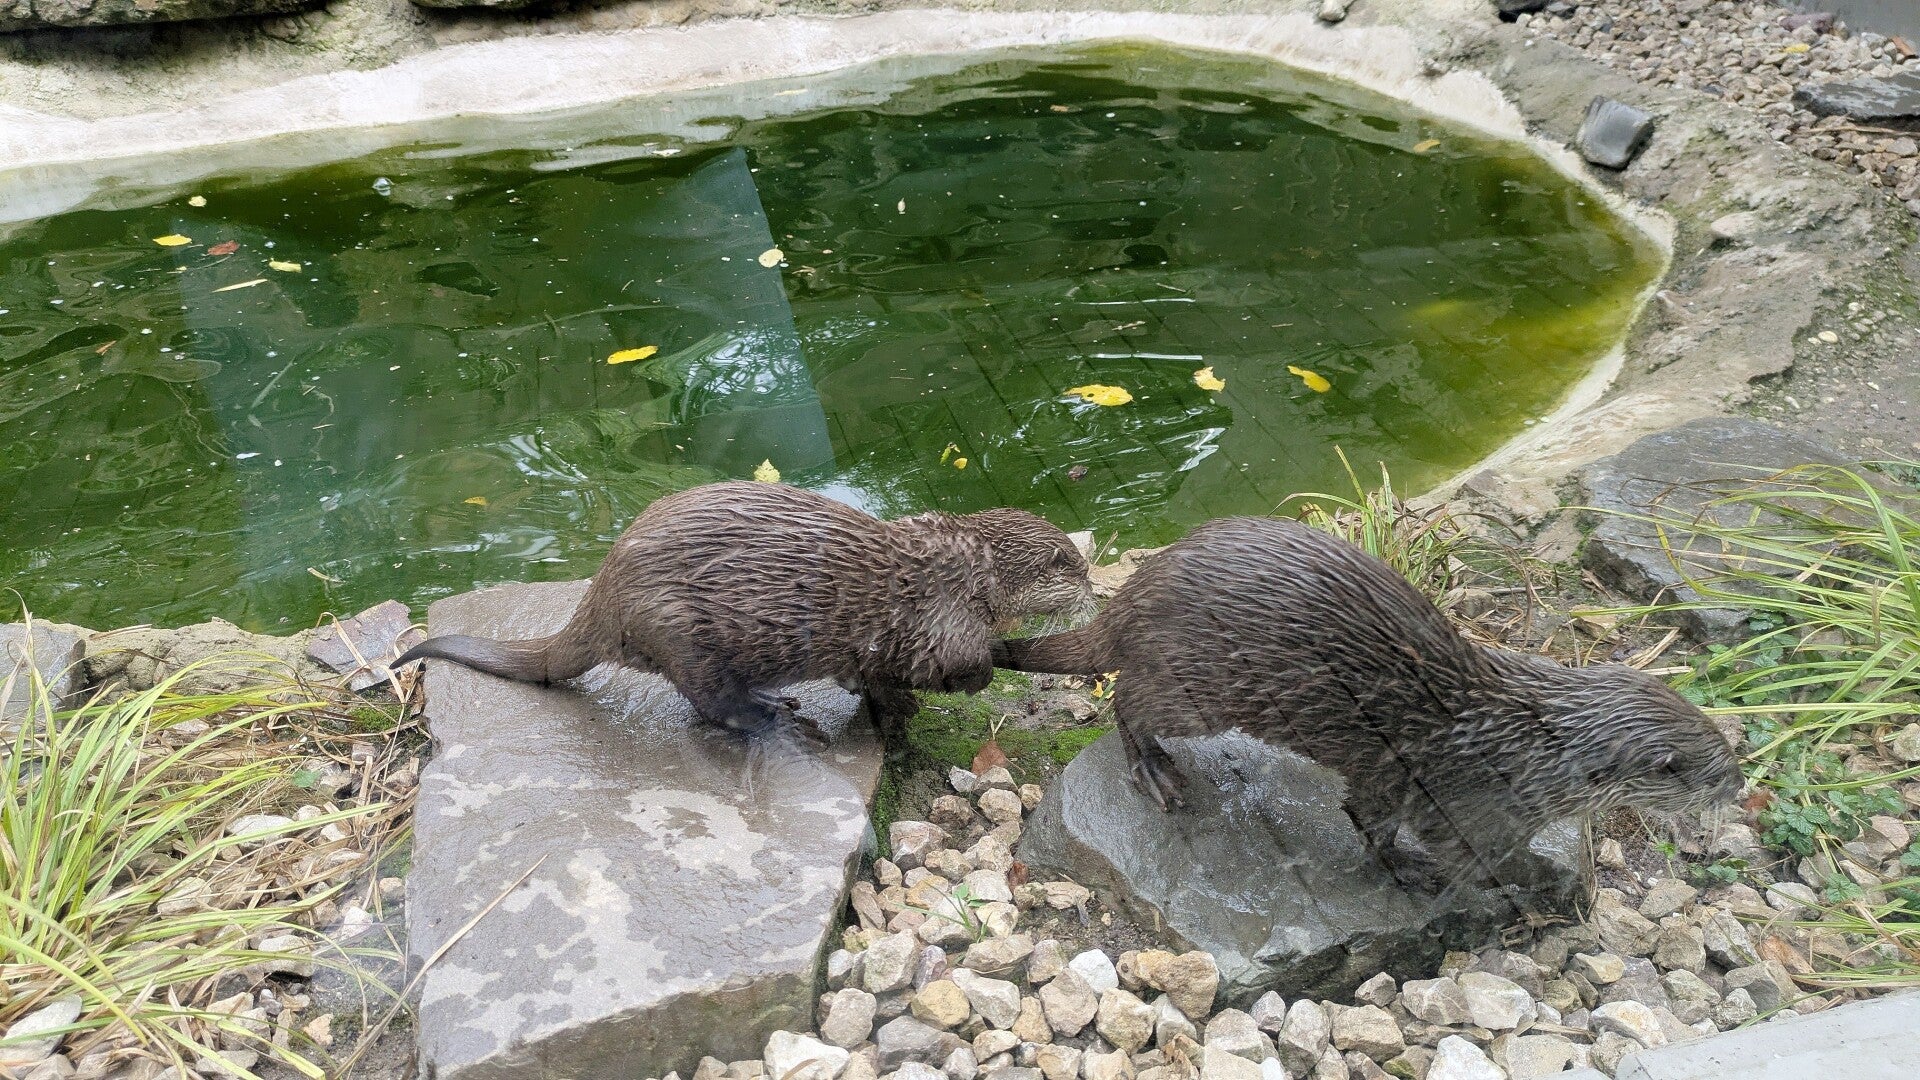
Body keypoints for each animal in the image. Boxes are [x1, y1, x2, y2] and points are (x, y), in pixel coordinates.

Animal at [398, 482, 1093, 744]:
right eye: (1075, 568)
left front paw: (883, 703)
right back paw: (769, 718)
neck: (973, 569)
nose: (1094, 588)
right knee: (706, 700)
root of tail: (604, 589)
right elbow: (968, 667)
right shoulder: (942, 621)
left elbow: (872, 675)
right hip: (679, 629)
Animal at [993, 516, 1742, 890]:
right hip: (1195, 686)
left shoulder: (1396, 780)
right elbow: (1460, 858)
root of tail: (1135, 593)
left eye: (1726, 745)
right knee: (1127, 696)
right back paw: (1154, 771)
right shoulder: (1468, 807)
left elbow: (1368, 812)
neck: (1526, 748)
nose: (1740, 784)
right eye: (1710, 769)